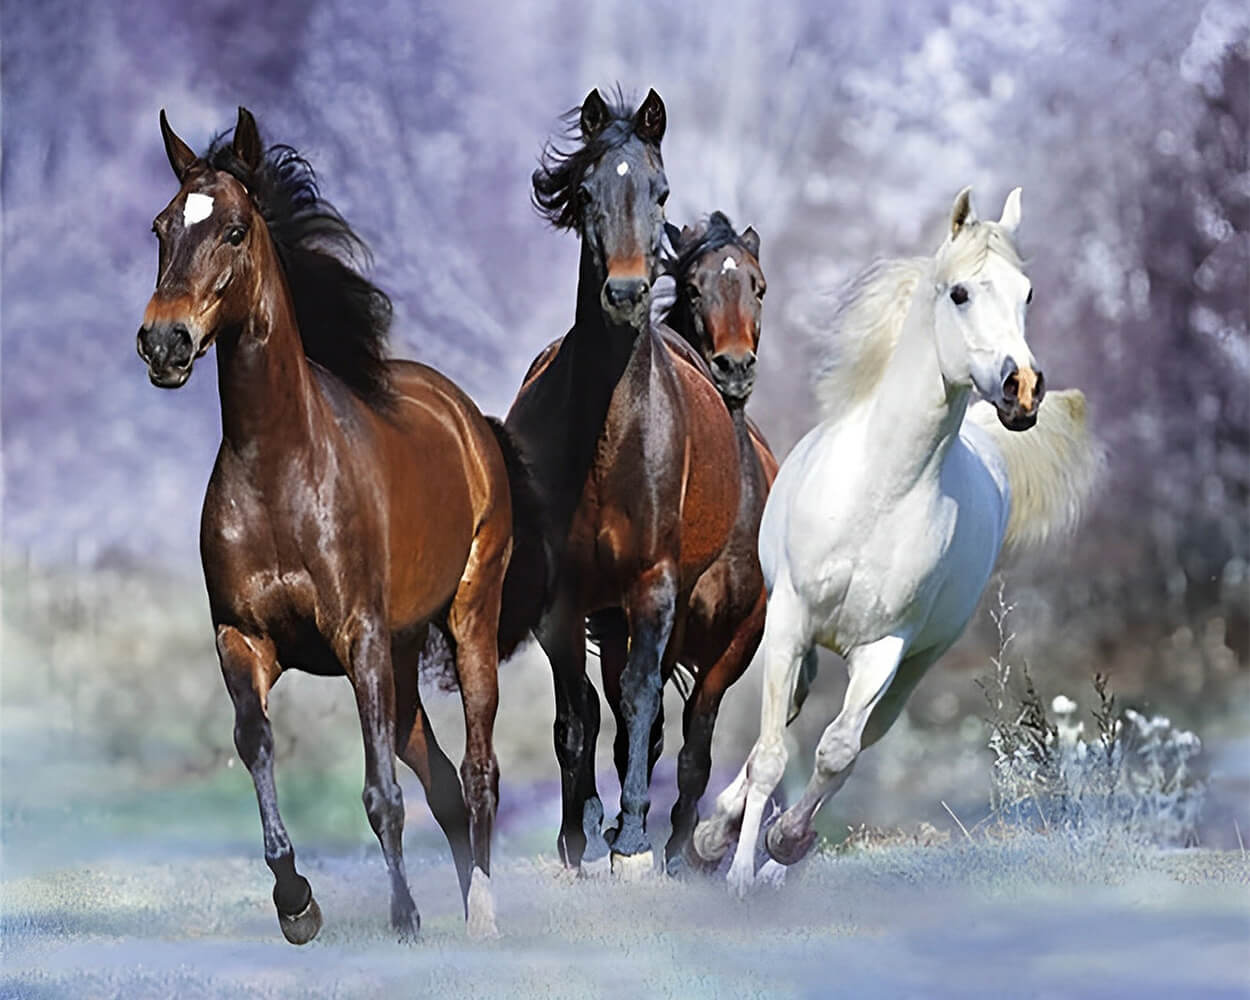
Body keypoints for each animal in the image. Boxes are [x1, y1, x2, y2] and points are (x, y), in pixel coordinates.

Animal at [136, 107, 543, 941]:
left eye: (233, 230)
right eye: (160, 227)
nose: (163, 343)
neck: (280, 471)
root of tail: (471, 421)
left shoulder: (358, 639)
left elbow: (381, 791)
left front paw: (404, 917)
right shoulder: (242, 639)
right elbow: (255, 743)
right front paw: (297, 903)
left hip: (466, 621)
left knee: (478, 770)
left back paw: (481, 913)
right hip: (403, 657)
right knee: (445, 780)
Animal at [504, 89, 744, 872]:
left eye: (660, 191)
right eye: (584, 194)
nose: (628, 293)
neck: (609, 437)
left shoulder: (655, 583)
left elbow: (639, 699)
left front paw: (634, 838)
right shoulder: (564, 598)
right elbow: (574, 712)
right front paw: (577, 835)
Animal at [692, 187, 1103, 895]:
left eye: (1027, 294)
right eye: (959, 293)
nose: (1022, 389)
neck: (880, 493)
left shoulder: (887, 648)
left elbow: (837, 752)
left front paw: (781, 844)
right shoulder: (790, 617)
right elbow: (772, 753)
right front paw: (735, 866)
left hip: (916, 663)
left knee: (859, 737)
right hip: (797, 639)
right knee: (784, 719)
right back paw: (718, 836)